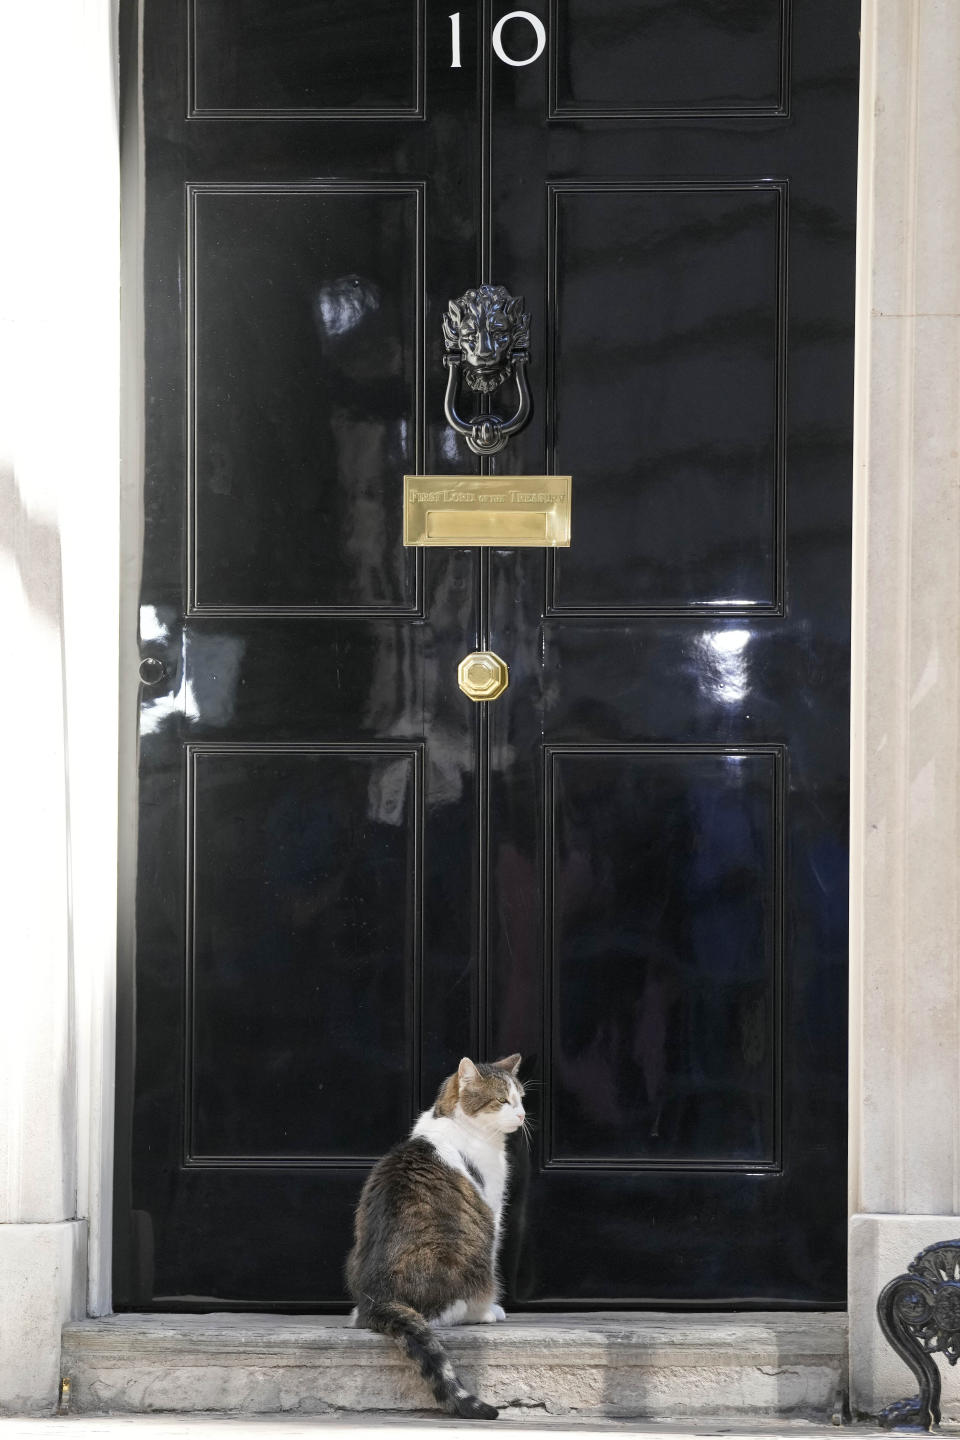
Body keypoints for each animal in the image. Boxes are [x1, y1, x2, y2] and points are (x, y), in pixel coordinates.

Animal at [345, 1054, 526, 1422]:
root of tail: (379, 1299)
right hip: (467, 1260)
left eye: (521, 1099)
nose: (522, 1116)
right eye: (503, 1101)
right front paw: (491, 1309)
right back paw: (484, 1313)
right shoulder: (493, 1210)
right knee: (442, 1314)